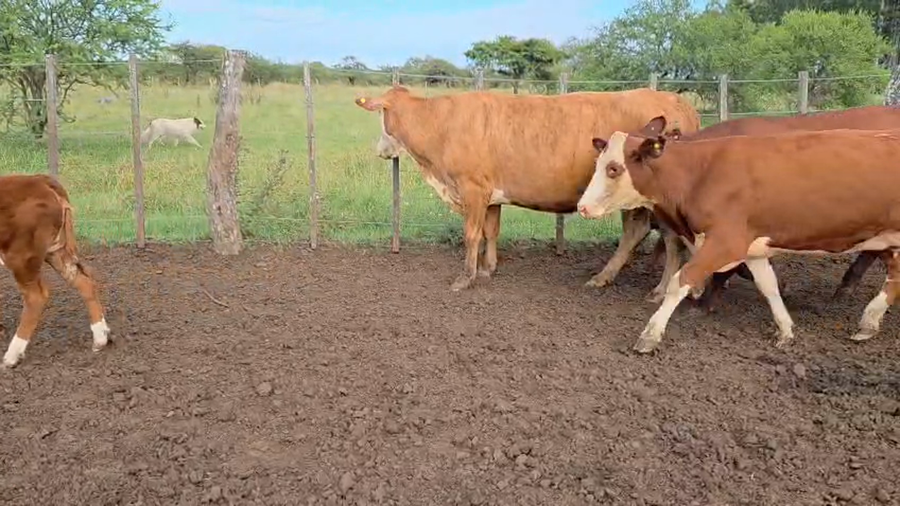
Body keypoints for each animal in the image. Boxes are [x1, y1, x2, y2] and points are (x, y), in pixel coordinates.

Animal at [0, 174, 111, 367]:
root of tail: (39, 179)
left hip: (21, 257)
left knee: (35, 297)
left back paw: (12, 356)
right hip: (56, 252)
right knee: (84, 282)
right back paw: (100, 338)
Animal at [353, 85, 701, 294]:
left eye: (381, 116)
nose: (379, 150)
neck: (441, 124)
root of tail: (675, 99)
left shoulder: (472, 189)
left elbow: (472, 235)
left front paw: (465, 277)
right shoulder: (491, 195)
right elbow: (491, 231)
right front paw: (488, 269)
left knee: (669, 239)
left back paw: (657, 289)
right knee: (639, 232)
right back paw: (608, 278)